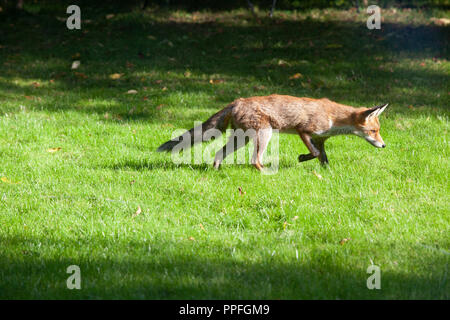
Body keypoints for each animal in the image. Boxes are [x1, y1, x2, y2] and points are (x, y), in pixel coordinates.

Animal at [156, 94, 388, 171]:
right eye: (373, 131)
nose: (384, 145)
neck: (334, 118)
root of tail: (237, 101)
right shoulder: (303, 130)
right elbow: (313, 153)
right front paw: (302, 158)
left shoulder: (321, 138)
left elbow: (322, 157)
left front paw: (327, 173)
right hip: (264, 135)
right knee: (254, 160)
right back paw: (265, 173)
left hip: (241, 139)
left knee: (219, 153)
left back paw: (215, 171)